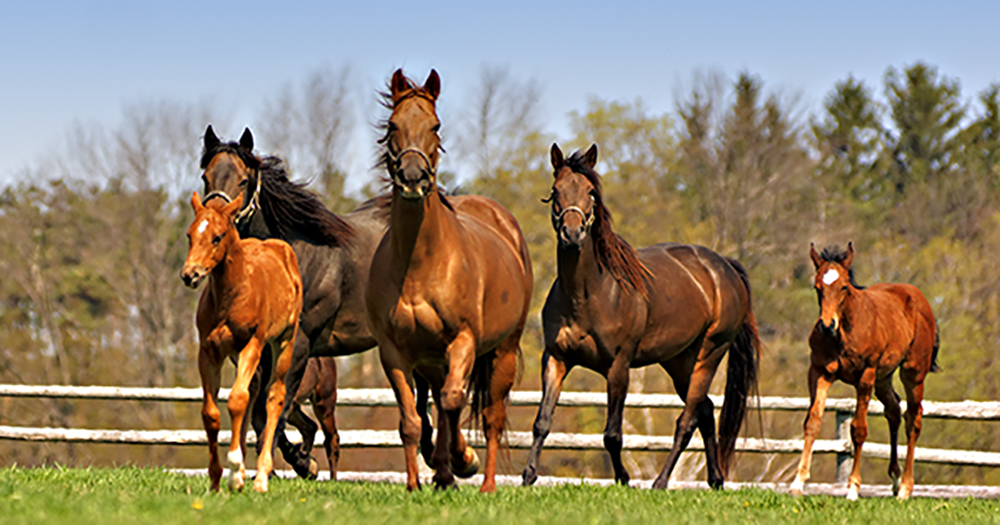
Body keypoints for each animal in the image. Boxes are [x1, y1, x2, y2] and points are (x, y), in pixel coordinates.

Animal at [181, 191, 300, 492]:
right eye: (190, 235)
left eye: (217, 237)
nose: (190, 274)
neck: (230, 294)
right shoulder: (209, 351)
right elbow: (211, 413)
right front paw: (216, 478)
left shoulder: (253, 344)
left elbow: (237, 399)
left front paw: (235, 468)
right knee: (255, 387)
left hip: (284, 340)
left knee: (274, 395)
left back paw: (260, 477)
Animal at [199, 126, 438, 478]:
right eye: (206, 177)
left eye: (243, 181)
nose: (213, 230)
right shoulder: (264, 350)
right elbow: (260, 414)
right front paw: (302, 462)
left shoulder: (297, 345)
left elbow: (277, 405)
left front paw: (286, 466)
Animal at [368, 69, 536, 492]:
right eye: (393, 125)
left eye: (435, 125)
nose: (412, 179)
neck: (420, 264)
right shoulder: (394, 352)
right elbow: (412, 421)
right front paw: (415, 482)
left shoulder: (463, 341)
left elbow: (453, 402)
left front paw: (464, 460)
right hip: (433, 360)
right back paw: (444, 472)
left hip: (503, 351)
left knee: (489, 415)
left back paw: (482, 479)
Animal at [520, 142, 760, 488]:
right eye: (555, 191)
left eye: (591, 192)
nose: (572, 234)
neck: (589, 294)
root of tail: (724, 267)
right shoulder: (555, 358)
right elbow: (542, 421)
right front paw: (528, 475)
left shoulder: (619, 367)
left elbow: (612, 434)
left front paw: (623, 478)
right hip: (679, 362)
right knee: (705, 411)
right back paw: (715, 480)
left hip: (709, 355)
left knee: (687, 421)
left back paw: (660, 482)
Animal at [788, 244, 936, 502]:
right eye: (817, 287)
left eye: (844, 287)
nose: (827, 325)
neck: (844, 332)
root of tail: (919, 298)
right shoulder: (820, 373)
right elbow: (812, 421)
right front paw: (798, 483)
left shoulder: (865, 377)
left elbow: (858, 430)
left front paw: (853, 488)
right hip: (883, 377)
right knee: (894, 410)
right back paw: (895, 480)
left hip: (913, 372)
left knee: (913, 419)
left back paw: (905, 488)